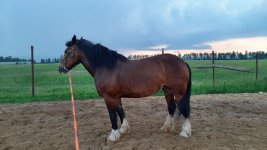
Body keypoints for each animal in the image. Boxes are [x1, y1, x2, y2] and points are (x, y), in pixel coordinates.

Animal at [58, 35, 193, 142]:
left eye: (67, 51)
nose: (60, 68)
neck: (105, 66)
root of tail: (182, 62)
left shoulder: (108, 97)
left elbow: (112, 116)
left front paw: (113, 136)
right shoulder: (116, 97)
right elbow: (120, 111)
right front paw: (123, 129)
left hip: (179, 92)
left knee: (184, 109)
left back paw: (184, 132)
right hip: (167, 90)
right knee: (173, 108)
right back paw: (166, 127)